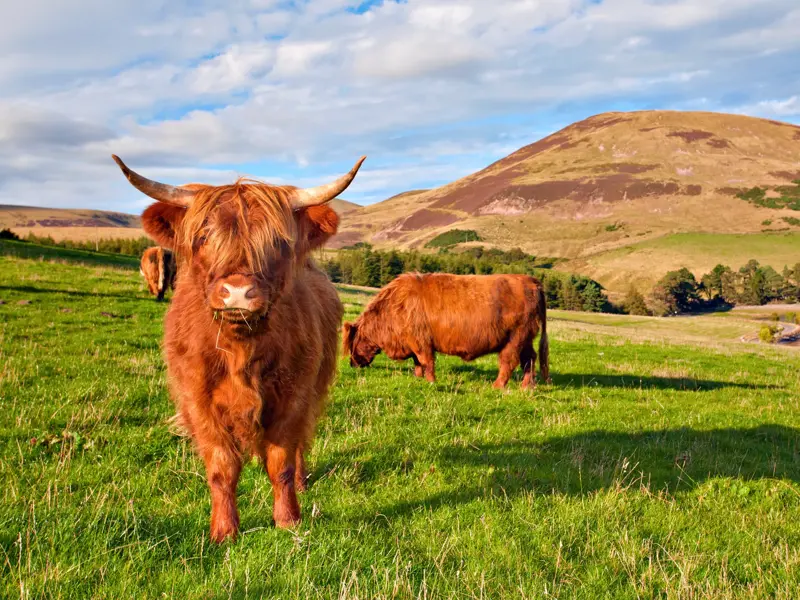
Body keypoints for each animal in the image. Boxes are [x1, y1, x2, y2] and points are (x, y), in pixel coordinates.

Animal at [112, 153, 365, 542]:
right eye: (203, 236)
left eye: (277, 241)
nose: (238, 293)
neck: (240, 347)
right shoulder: (198, 400)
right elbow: (222, 466)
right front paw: (224, 530)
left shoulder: (294, 395)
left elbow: (281, 461)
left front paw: (288, 519)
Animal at [342, 272, 550, 389]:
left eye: (353, 343)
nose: (352, 364)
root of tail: (532, 282)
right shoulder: (415, 342)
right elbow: (418, 362)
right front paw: (418, 377)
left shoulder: (421, 341)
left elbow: (426, 361)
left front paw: (431, 381)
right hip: (526, 338)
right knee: (530, 359)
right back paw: (526, 386)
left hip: (515, 337)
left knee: (509, 361)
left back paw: (497, 386)